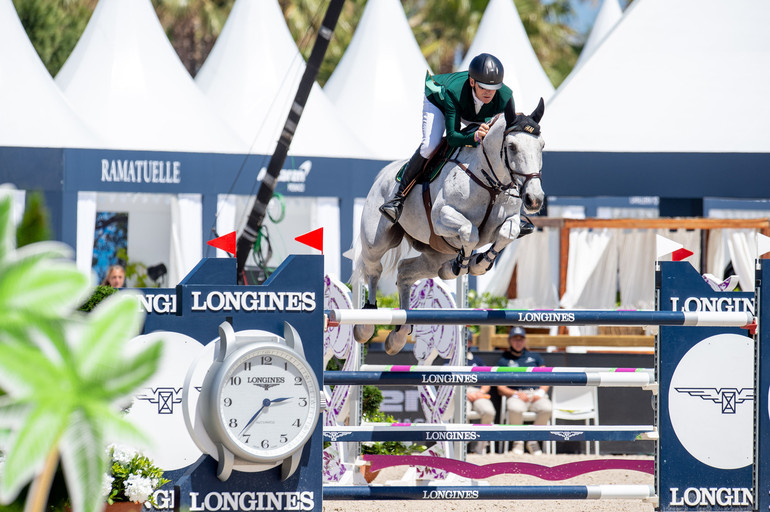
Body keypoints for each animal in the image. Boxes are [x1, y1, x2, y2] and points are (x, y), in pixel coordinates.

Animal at [352, 100, 544, 356]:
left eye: (542, 146)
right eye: (512, 146)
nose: (534, 200)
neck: (491, 183)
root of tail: (385, 174)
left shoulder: (510, 220)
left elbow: (507, 233)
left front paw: (478, 263)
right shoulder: (442, 217)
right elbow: (470, 232)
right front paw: (465, 264)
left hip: (435, 254)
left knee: (405, 271)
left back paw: (399, 335)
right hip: (378, 239)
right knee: (373, 270)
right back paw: (366, 323)